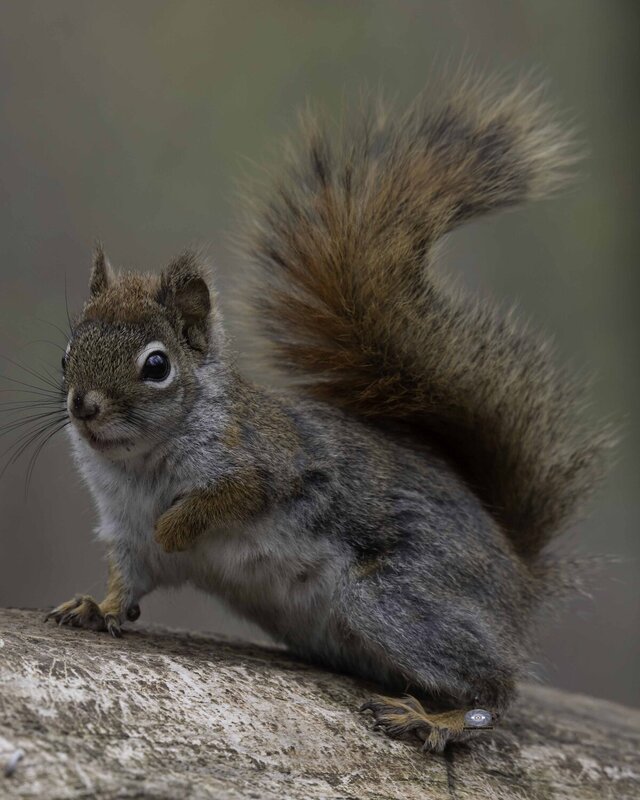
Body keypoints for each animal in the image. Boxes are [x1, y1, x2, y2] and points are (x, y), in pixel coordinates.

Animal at [44, 78, 609, 753]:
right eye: (67, 355)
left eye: (157, 366)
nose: (84, 406)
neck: (140, 465)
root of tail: (519, 581)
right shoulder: (124, 529)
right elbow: (127, 580)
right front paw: (95, 609)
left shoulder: (266, 462)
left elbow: (228, 498)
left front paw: (177, 528)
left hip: (392, 599)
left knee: (496, 690)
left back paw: (435, 719)